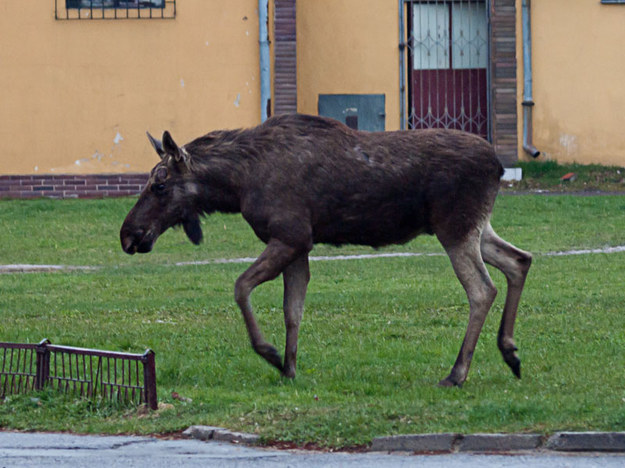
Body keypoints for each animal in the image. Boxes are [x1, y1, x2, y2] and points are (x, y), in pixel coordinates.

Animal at [119, 114, 528, 388]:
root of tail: (498, 166)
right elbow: (292, 310)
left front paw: (270, 353)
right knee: (519, 260)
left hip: (455, 227)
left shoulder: (291, 236)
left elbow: (240, 287)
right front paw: (289, 368)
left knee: (482, 289)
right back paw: (510, 352)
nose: (128, 235)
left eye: (159, 184)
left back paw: (457, 373)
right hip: (477, 227)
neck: (237, 185)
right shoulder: (299, 245)